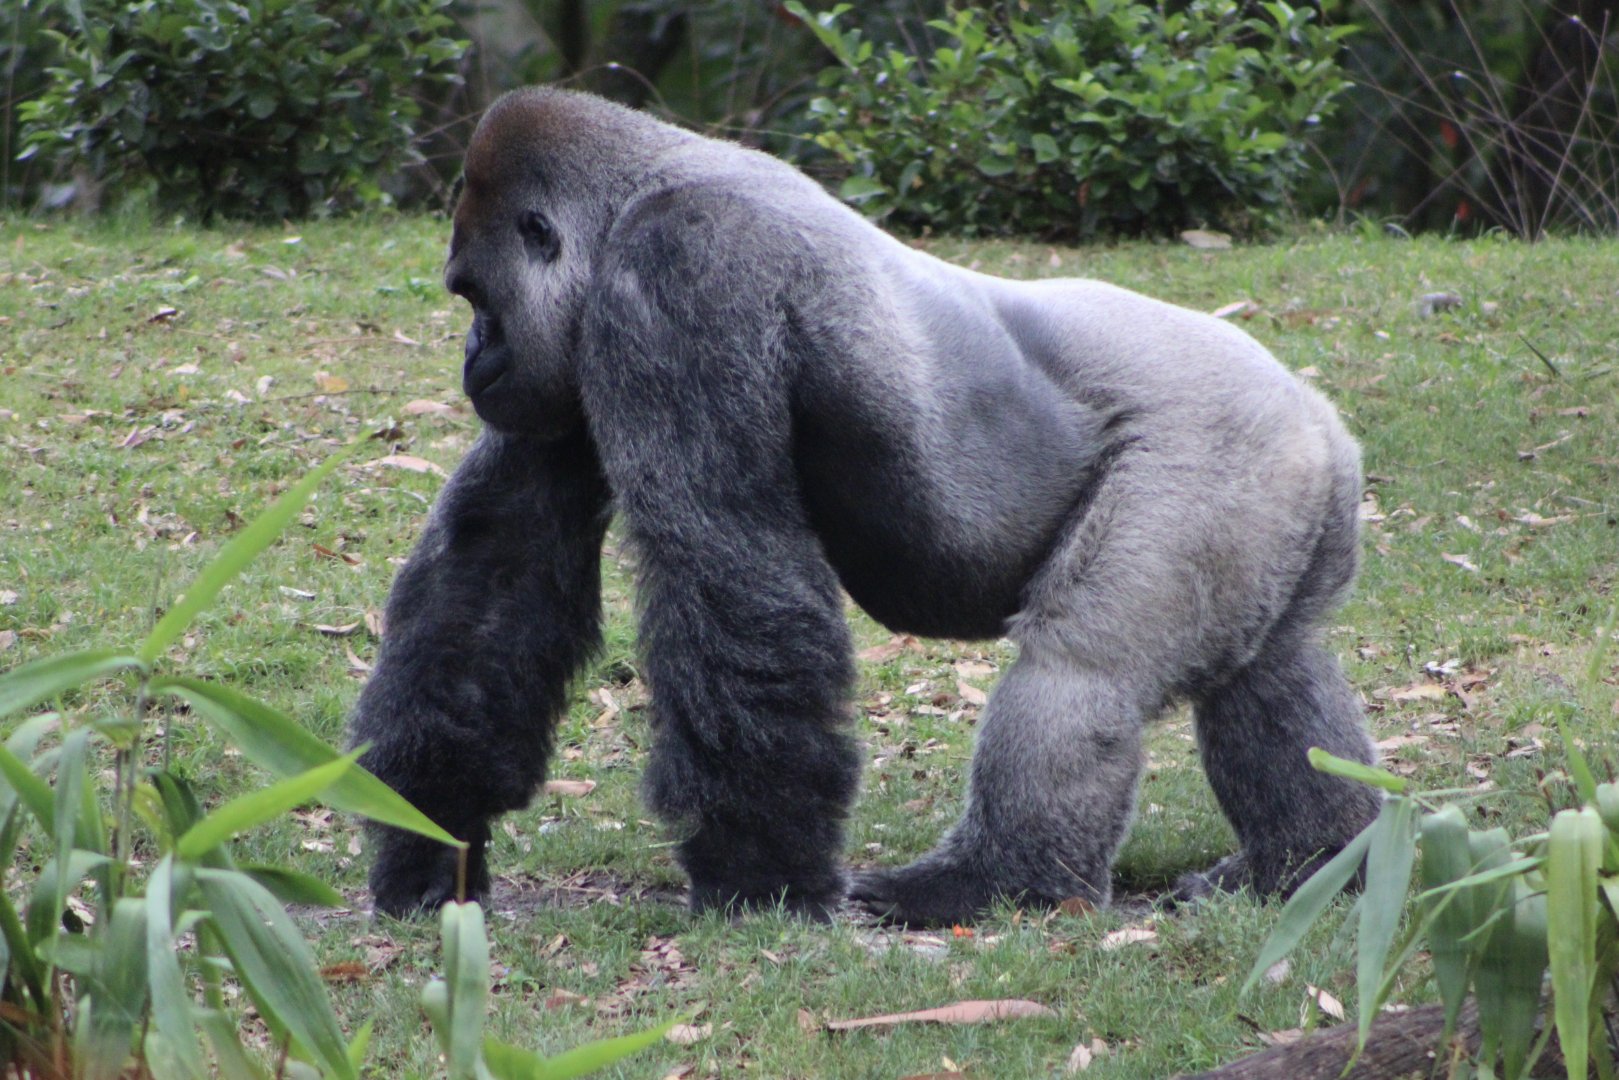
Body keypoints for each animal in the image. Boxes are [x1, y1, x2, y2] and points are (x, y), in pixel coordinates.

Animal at [348, 86, 1383, 926]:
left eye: (473, 294)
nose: (474, 358)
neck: (640, 186)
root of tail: (1322, 420)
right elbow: (500, 563)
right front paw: (430, 836)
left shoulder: (678, 276)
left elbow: (727, 568)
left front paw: (758, 879)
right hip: (1292, 496)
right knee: (1272, 672)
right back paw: (1309, 863)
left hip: (1217, 450)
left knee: (1079, 672)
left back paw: (995, 883)